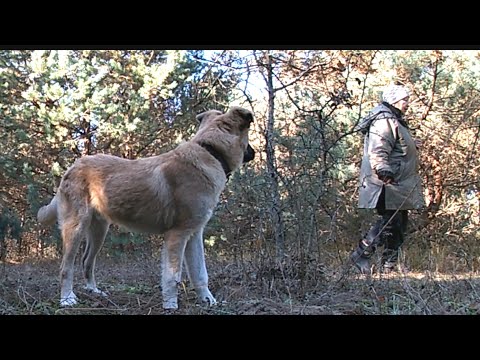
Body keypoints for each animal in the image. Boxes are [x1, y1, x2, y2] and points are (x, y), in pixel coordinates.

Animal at [37, 106, 255, 310]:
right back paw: (67, 299)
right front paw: (170, 305)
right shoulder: (178, 235)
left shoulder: (194, 234)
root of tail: (72, 167)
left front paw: (209, 301)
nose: (253, 153)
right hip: (76, 227)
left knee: (86, 261)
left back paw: (94, 291)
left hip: (99, 230)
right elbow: (172, 277)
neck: (211, 151)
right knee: (66, 267)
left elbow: (200, 273)